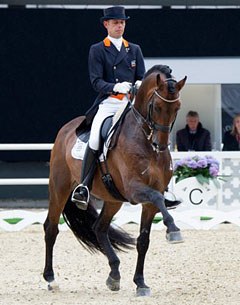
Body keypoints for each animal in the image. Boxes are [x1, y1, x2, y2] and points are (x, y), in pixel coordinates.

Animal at [43, 64, 188, 294]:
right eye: (156, 107)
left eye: (177, 108)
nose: (160, 145)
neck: (145, 141)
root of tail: (66, 128)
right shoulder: (135, 189)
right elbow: (157, 199)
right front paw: (173, 230)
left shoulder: (148, 202)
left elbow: (143, 240)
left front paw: (140, 283)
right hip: (59, 188)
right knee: (51, 228)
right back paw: (51, 279)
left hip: (113, 199)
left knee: (99, 228)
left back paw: (114, 275)